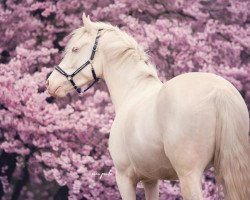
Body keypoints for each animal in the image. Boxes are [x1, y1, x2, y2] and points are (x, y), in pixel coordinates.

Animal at [47, 13, 250, 199]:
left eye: (75, 49)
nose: (50, 83)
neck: (133, 91)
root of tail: (219, 90)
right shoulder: (151, 179)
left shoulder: (124, 178)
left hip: (189, 176)